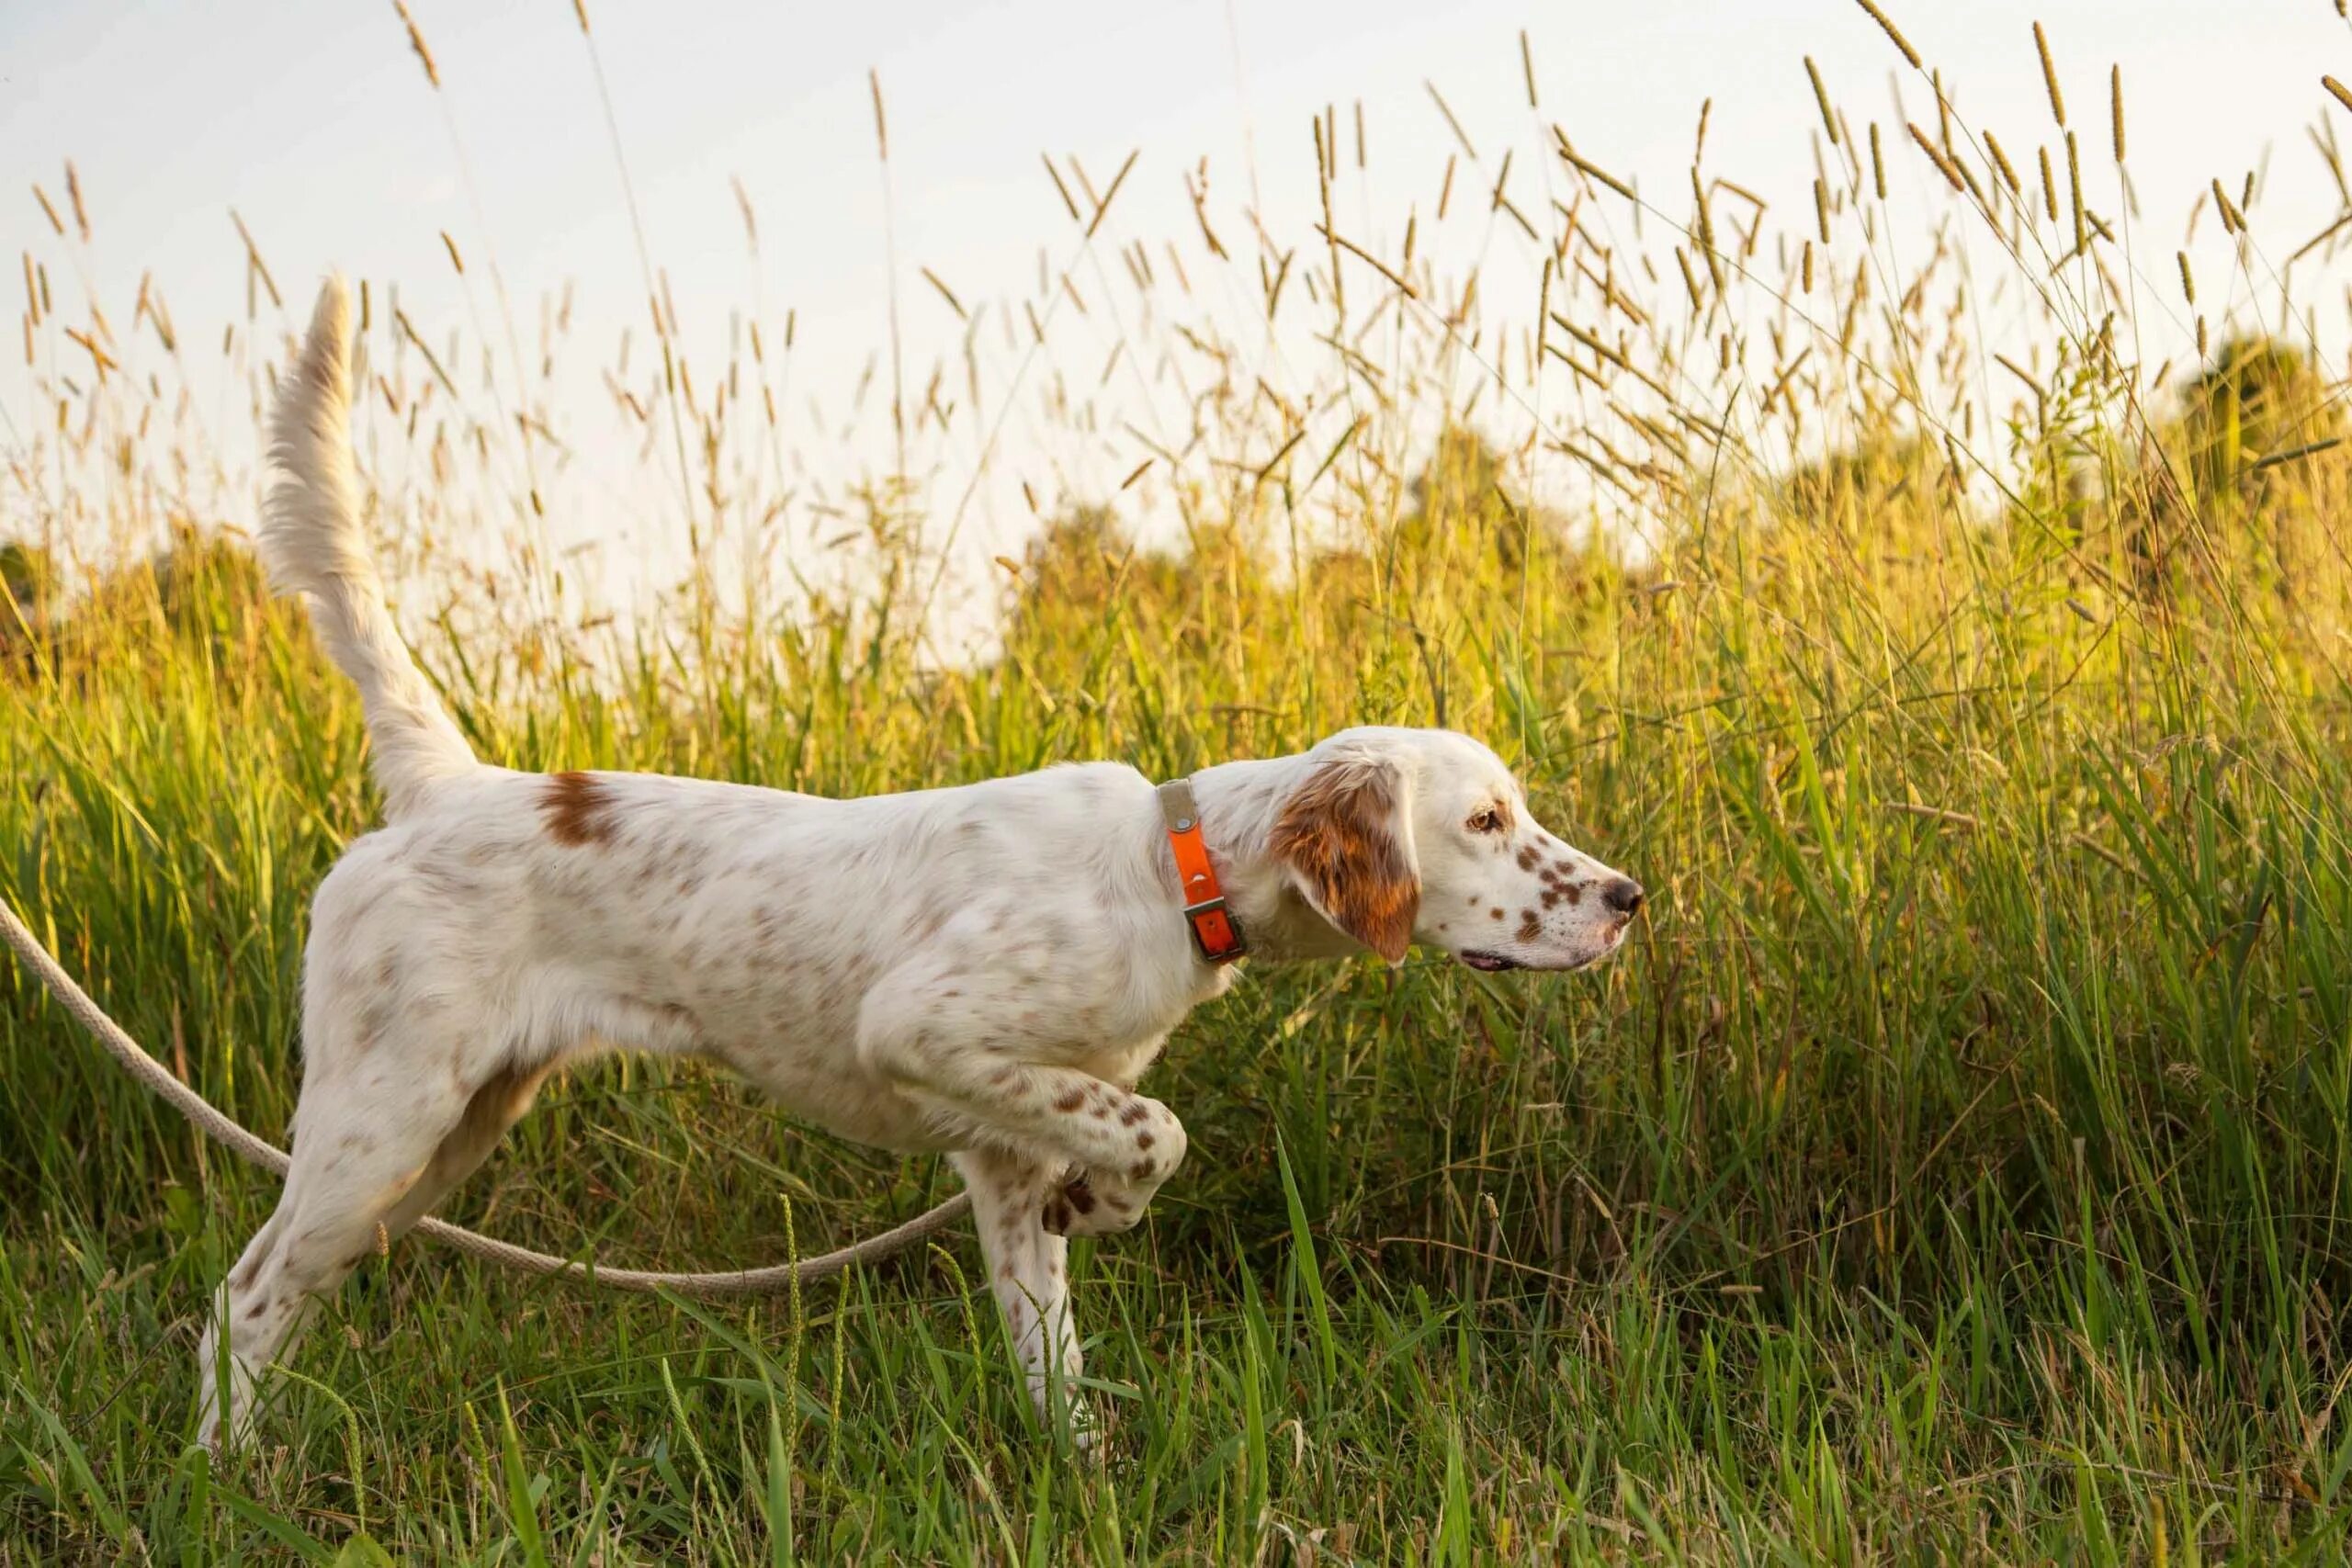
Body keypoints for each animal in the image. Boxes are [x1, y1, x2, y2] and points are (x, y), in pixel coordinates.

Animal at [192, 276, 1646, 1457]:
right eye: (1486, 821)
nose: (1629, 900)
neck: (1168, 871)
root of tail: (452, 783)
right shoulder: (922, 1028)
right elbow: (1157, 1127)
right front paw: (1111, 1199)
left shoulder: (1001, 1157)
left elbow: (1054, 1351)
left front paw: (1084, 1467)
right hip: (384, 1114)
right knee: (245, 1290)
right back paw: (225, 1477)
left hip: (440, 1140)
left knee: (283, 1287)